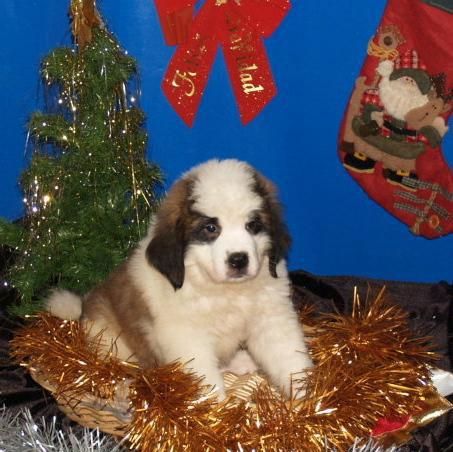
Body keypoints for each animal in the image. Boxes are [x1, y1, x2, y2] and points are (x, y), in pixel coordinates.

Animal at [47, 159, 312, 400]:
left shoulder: (271, 317)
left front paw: (308, 398)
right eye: (210, 228)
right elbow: (206, 377)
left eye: (253, 225)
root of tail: (84, 308)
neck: (225, 292)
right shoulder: (187, 337)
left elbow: (288, 354)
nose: (238, 259)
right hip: (108, 336)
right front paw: (218, 415)